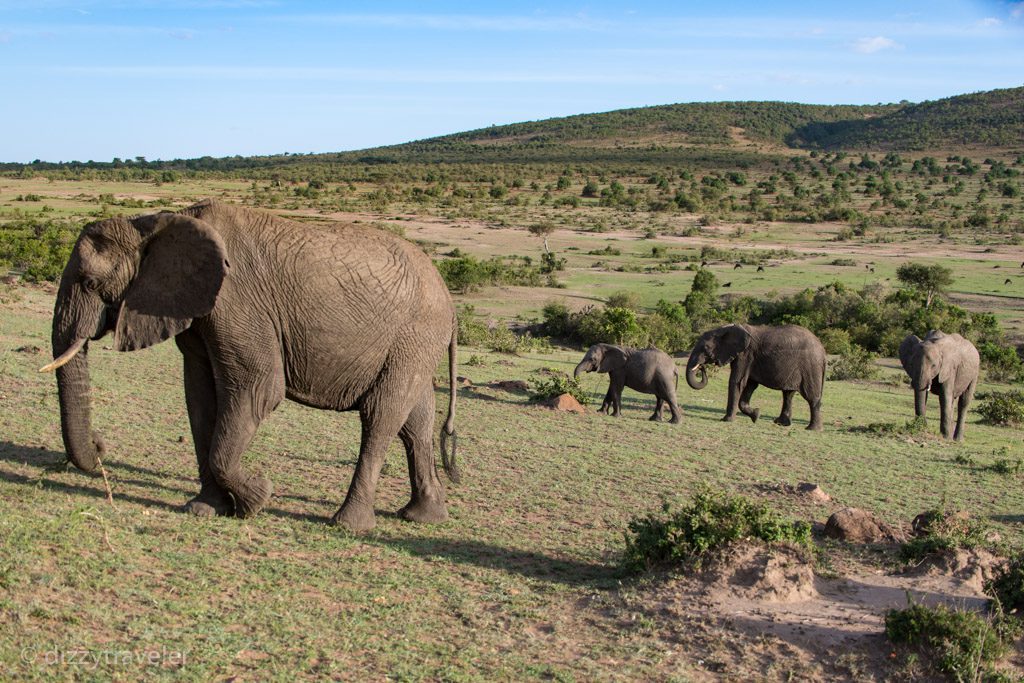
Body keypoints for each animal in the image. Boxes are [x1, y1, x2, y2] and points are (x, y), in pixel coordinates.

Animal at [39, 200, 456, 532]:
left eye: (90, 283)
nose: (99, 444)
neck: (155, 223)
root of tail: (447, 296)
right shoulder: (194, 307)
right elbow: (200, 400)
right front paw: (204, 509)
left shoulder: (236, 301)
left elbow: (259, 388)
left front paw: (258, 496)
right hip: (414, 344)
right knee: (415, 423)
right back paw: (423, 517)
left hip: (415, 333)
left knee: (380, 416)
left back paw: (348, 525)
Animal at [684, 325, 827, 430]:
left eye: (706, 348)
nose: (701, 367)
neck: (724, 329)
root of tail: (822, 349)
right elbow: (750, 385)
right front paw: (756, 415)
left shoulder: (745, 355)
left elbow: (737, 382)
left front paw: (726, 420)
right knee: (788, 394)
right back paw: (781, 423)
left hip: (810, 367)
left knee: (811, 396)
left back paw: (812, 429)